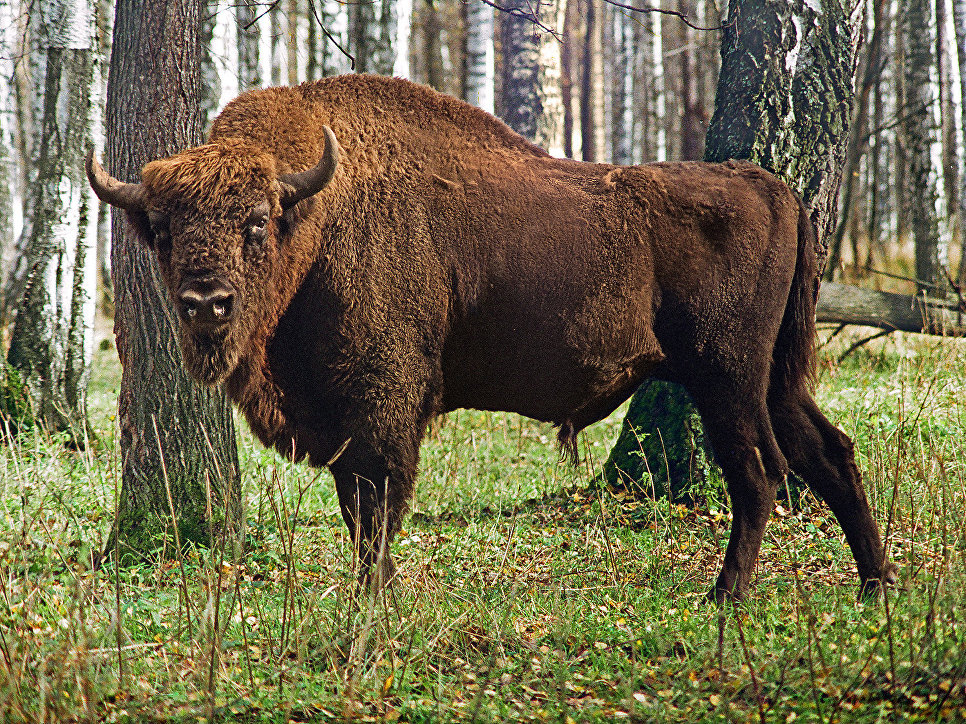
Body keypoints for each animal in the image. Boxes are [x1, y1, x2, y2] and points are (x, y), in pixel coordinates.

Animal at [87, 76, 896, 604]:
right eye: (162, 229)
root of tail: (771, 186)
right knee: (829, 452)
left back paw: (726, 596)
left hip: (727, 378)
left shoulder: (382, 408)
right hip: (774, 377)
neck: (317, 214)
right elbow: (359, 510)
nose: (207, 304)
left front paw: (372, 605)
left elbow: (377, 509)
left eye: (256, 221)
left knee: (758, 474)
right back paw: (875, 584)